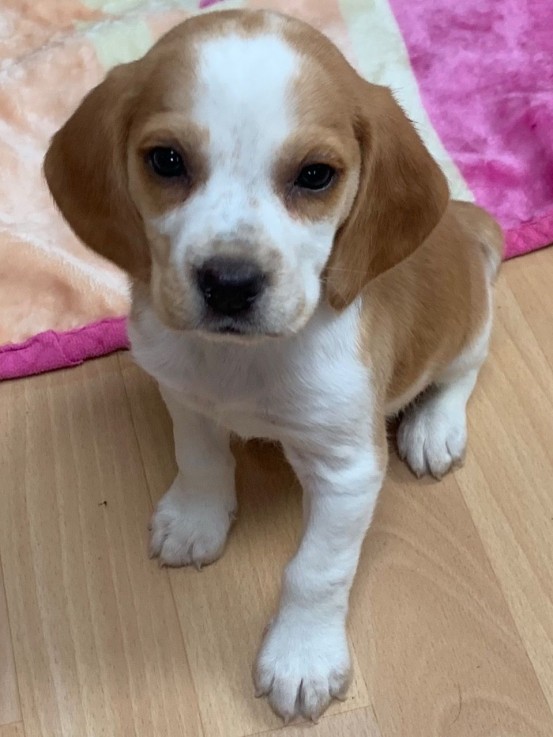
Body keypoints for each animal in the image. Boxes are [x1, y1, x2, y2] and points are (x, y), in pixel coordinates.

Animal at [44, 8, 500, 720]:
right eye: (166, 160)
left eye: (315, 175)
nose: (230, 283)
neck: (242, 363)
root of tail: (462, 218)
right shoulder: (182, 394)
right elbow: (200, 458)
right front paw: (196, 518)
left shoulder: (347, 468)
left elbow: (316, 570)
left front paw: (301, 656)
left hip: (469, 321)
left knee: (461, 371)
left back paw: (435, 427)